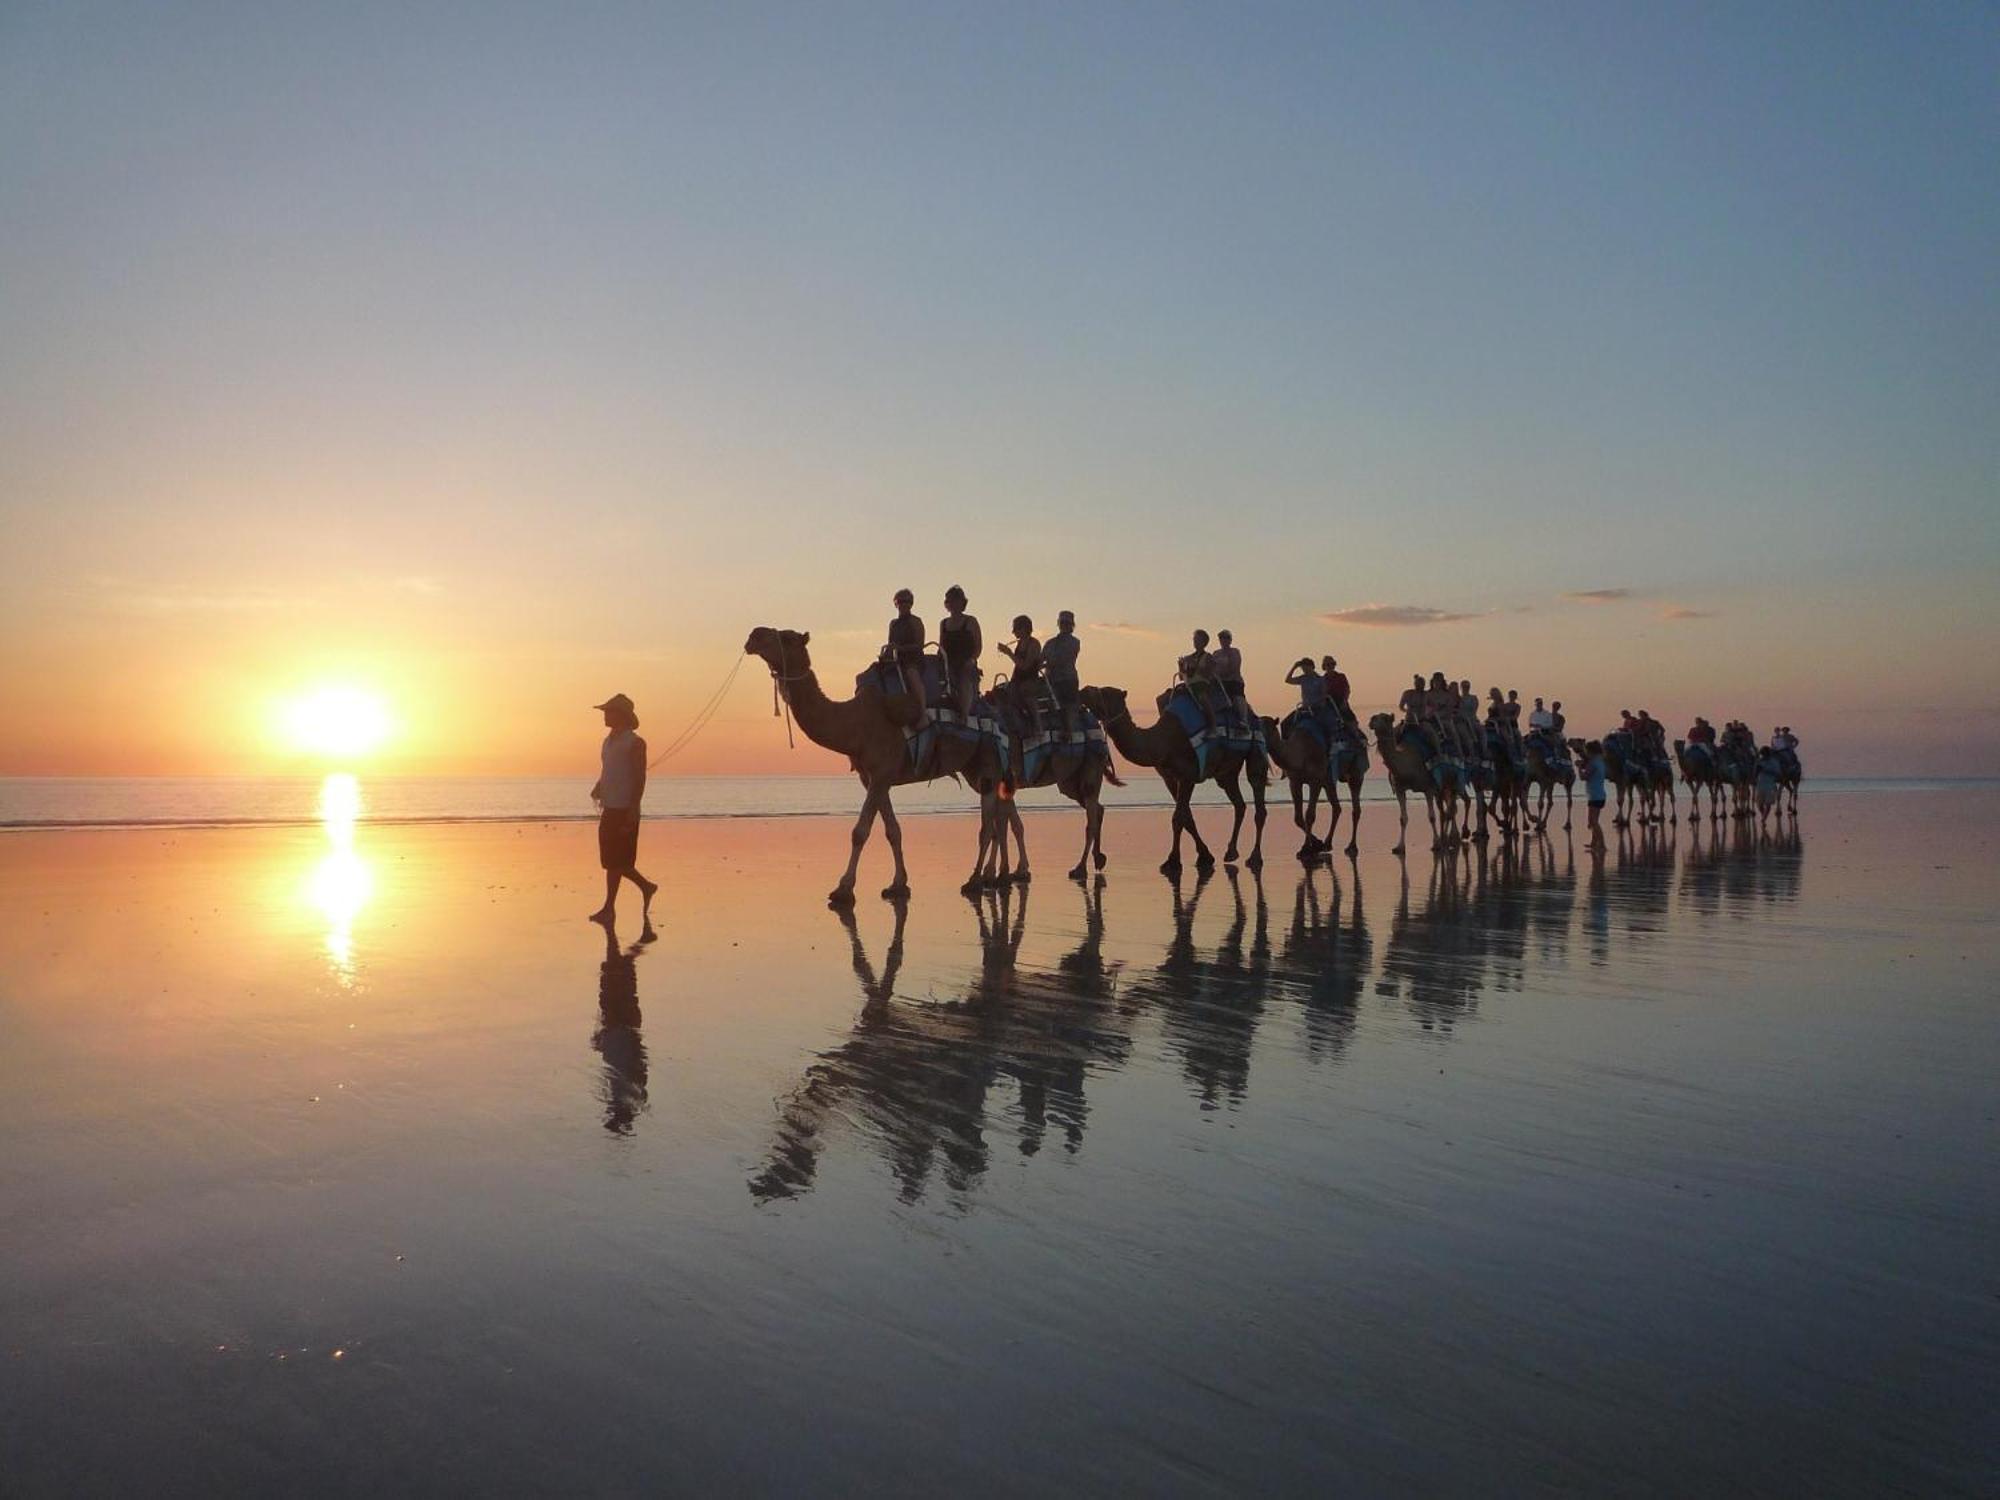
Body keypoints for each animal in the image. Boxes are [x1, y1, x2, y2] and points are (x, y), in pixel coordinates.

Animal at [744, 632, 1008, 912]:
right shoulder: (872, 776)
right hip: (972, 766)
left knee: (988, 825)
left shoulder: (881, 772)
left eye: (786, 637)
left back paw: (975, 880)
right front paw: (898, 884)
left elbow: (860, 832)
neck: (855, 723)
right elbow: (892, 830)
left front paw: (843, 890)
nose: (753, 636)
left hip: (989, 759)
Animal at [1080, 684, 1264, 876]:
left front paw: (1172, 861)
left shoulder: (1188, 774)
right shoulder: (1168, 777)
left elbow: (1178, 817)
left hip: (1256, 746)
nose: (1084, 690)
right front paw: (1204, 856)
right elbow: (1186, 817)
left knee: (1258, 796)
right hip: (1226, 773)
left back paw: (1255, 857)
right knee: (1239, 804)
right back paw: (1231, 852)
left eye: (1105, 692)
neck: (1163, 741)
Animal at [1264, 712, 1376, 856]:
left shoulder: (1315, 781)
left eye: (1265, 727)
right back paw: (1327, 843)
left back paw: (1352, 846)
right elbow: (1298, 818)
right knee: (1337, 807)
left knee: (1355, 808)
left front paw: (1307, 848)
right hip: (1329, 780)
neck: (1300, 751)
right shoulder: (1295, 781)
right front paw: (1316, 844)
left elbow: (1310, 815)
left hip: (1356, 772)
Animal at [1368, 716, 1464, 856]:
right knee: (1447, 809)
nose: (1371, 720)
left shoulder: (1428, 789)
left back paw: (1450, 838)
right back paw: (1448, 838)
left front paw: (1436, 844)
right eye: (1375, 717)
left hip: (1452, 780)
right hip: (1443, 787)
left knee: (1450, 808)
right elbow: (1403, 818)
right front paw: (1399, 847)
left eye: (1385, 717)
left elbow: (1431, 817)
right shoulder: (1400, 789)